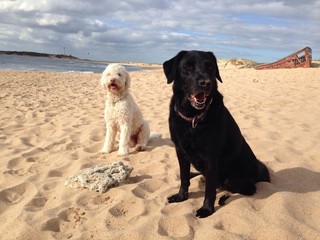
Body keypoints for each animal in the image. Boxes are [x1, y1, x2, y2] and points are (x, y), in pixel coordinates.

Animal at [162, 50, 270, 218]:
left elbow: (210, 189)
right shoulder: (180, 151)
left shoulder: (211, 157)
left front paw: (207, 209)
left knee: (248, 189)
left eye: (210, 67)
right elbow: (184, 177)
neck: (193, 119)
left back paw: (224, 197)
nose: (206, 83)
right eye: (187, 67)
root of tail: (259, 170)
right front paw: (181, 196)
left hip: (234, 178)